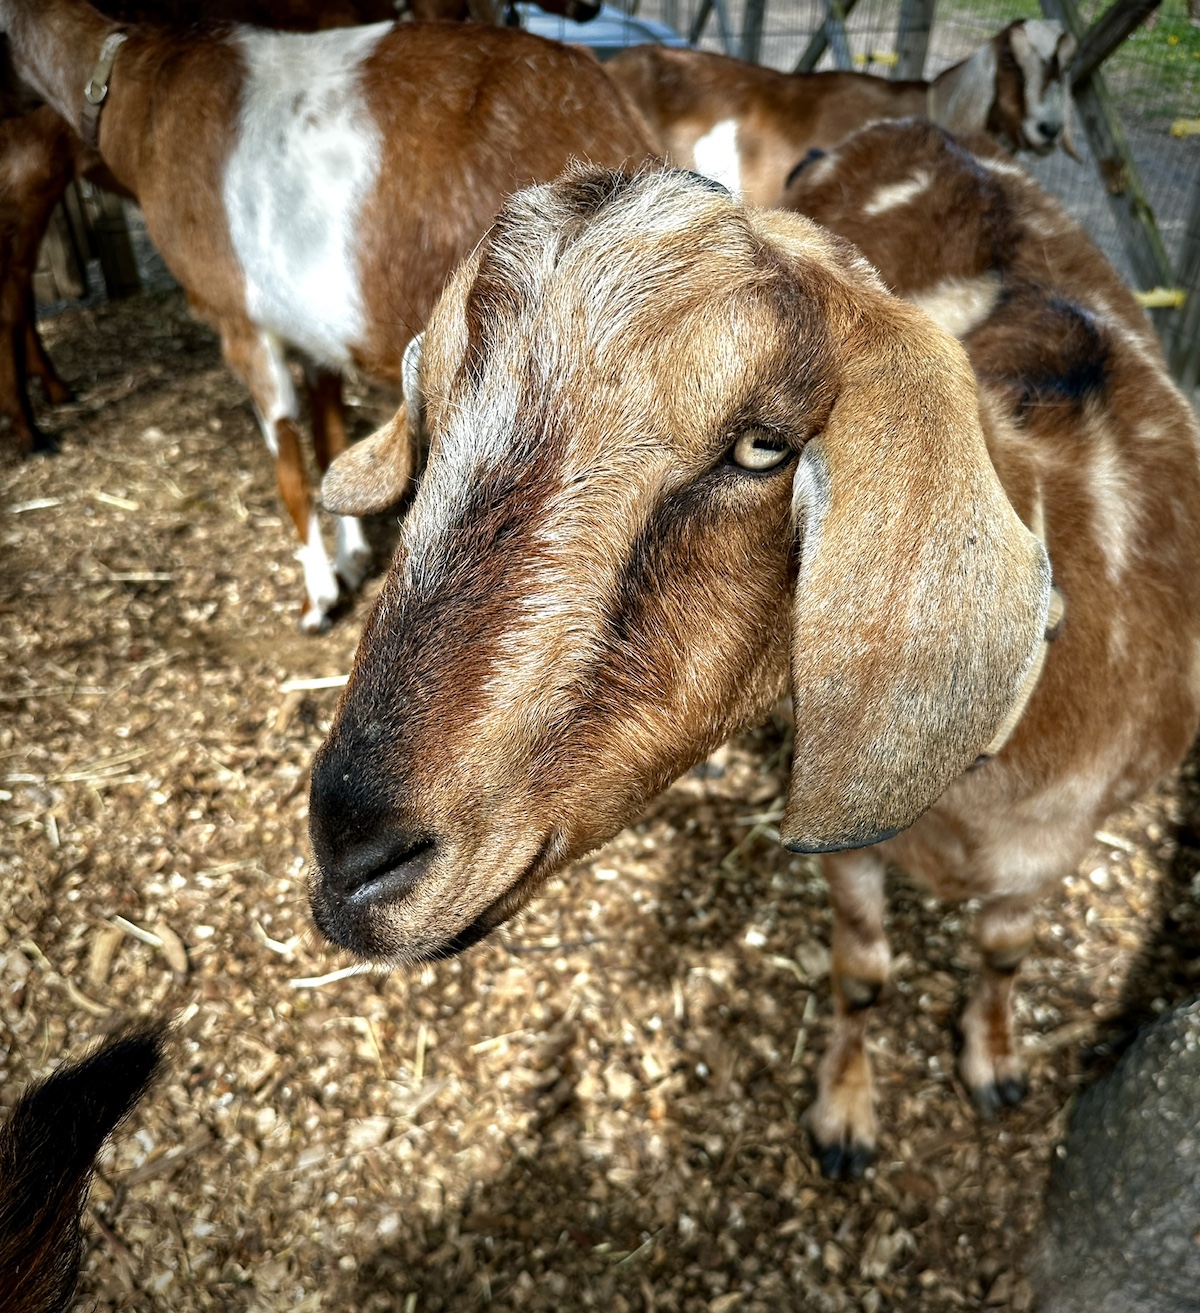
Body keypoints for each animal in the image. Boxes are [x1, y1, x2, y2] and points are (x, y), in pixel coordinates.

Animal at [0, 0, 654, 630]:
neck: (138, 93)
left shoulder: (240, 323)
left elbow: (289, 462)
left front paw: (318, 598)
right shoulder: (312, 329)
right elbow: (331, 432)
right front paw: (353, 556)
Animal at [307, 144, 1200, 1180]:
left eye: (762, 446)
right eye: (437, 403)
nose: (351, 857)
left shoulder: (1050, 853)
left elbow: (1005, 953)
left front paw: (994, 1064)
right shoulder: (857, 853)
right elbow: (861, 974)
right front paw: (845, 1115)